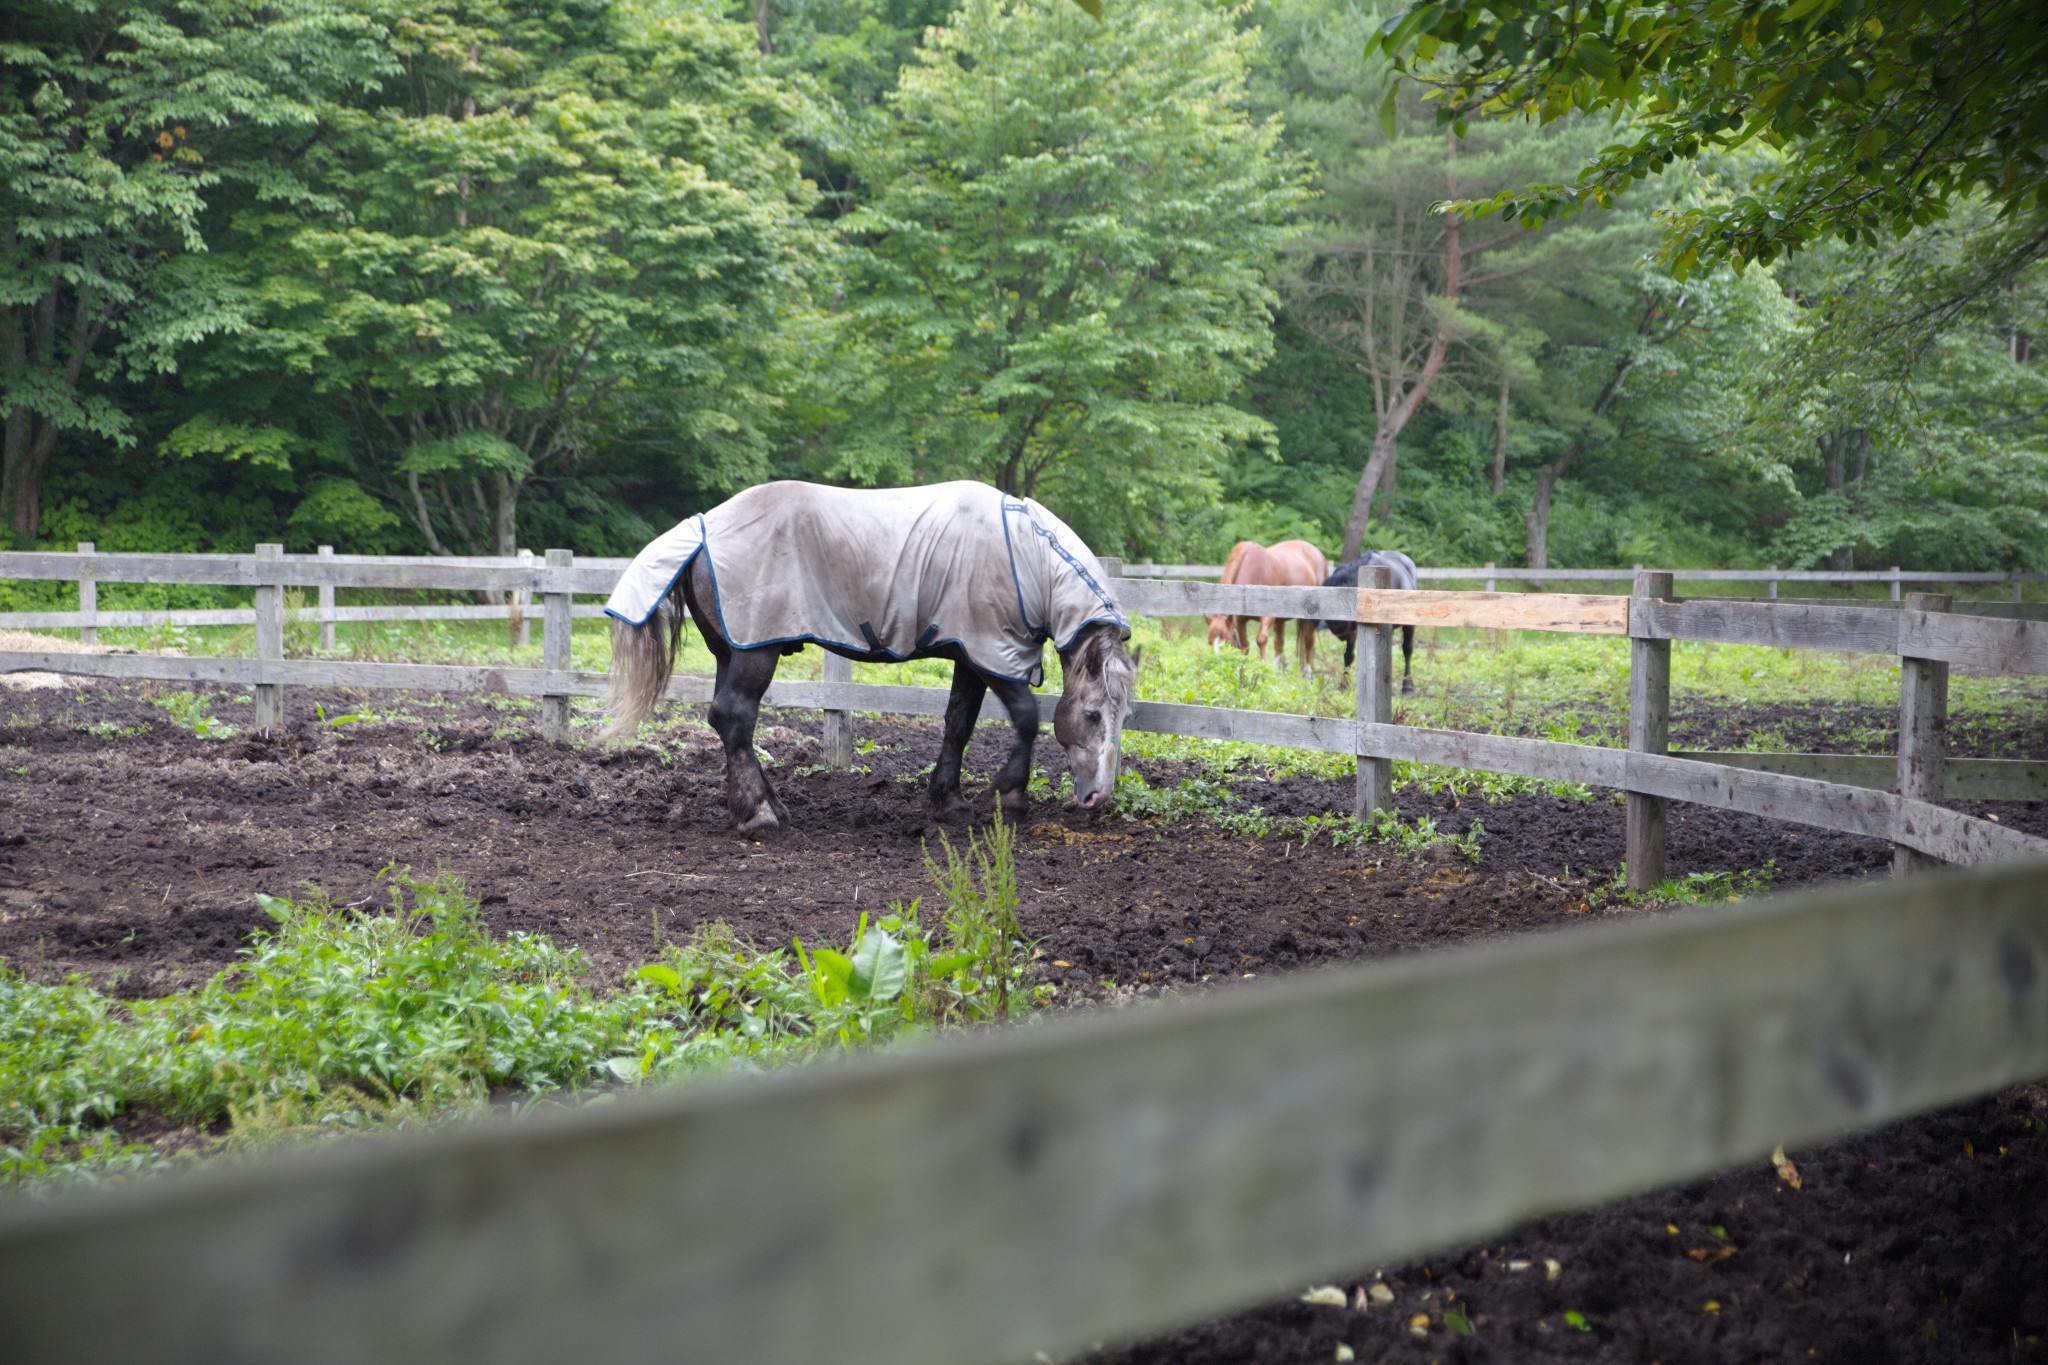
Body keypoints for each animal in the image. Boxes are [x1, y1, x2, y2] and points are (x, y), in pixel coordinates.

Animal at [598, 480, 1138, 843]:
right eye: (1092, 715)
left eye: (1124, 716)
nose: (1098, 797)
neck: (1023, 554)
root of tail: (703, 528)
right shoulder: (992, 654)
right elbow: (1026, 717)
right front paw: (1008, 795)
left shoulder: (970, 653)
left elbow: (959, 724)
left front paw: (948, 802)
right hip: (757, 650)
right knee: (735, 716)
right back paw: (758, 815)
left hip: (732, 649)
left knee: (728, 722)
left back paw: (770, 804)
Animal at [1196, 540, 1327, 675]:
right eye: (1209, 642)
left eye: (1226, 642)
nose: (1217, 669)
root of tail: (1317, 553)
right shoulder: (1240, 621)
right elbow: (1245, 646)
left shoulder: (1268, 617)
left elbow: (1261, 640)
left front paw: (1262, 668)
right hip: (1280, 621)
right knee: (1279, 645)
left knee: (1308, 642)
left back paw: (1308, 676)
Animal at [1318, 548, 1417, 695]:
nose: (1337, 626)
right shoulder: (1354, 631)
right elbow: (1349, 656)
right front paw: (1343, 685)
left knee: (1407, 650)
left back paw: (1407, 686)